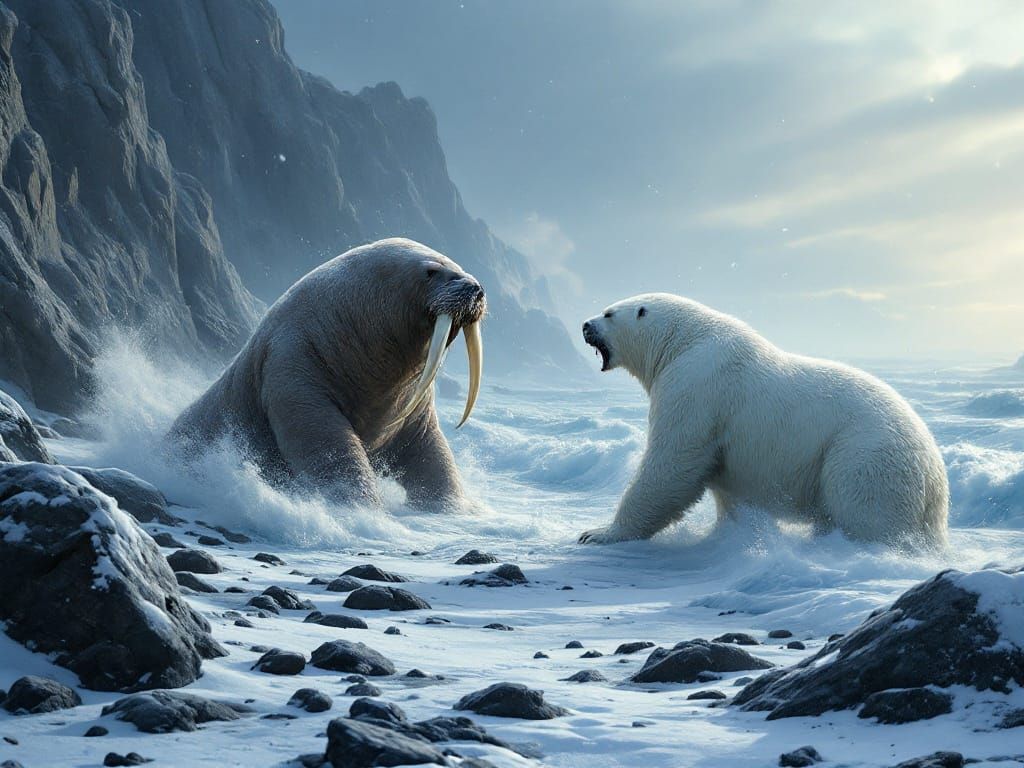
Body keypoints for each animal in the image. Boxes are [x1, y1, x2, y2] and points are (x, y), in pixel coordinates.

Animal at [168, 238, 485, 510]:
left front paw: (455, 509)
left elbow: (434, 460)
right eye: (431, 272)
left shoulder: (415, 415)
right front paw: (361, 512)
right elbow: (331, 450)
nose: (476, 288)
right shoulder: (292, 373)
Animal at [578, 293, 949, 549]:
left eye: (609, 312)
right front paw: (730, 532)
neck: (684, 341)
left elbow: (672, 463)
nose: (585, 325)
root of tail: (935, 478)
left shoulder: (696, 386)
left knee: (864, 512)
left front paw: (598, 533)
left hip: (863, 458)